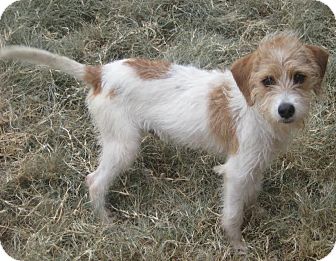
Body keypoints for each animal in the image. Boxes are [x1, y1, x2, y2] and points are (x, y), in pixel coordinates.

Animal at [0, 31, 328, 249]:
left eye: (299, 77)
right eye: (267, 80)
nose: (286, 109)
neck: (255, 106)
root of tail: (99, 74)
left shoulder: (254, 164)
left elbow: (251, 193)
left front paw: (255, 211)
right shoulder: (238, 170)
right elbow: (232, 214)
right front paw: (238, 245)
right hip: (123, 146)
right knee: (94, 181)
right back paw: (106, 222)